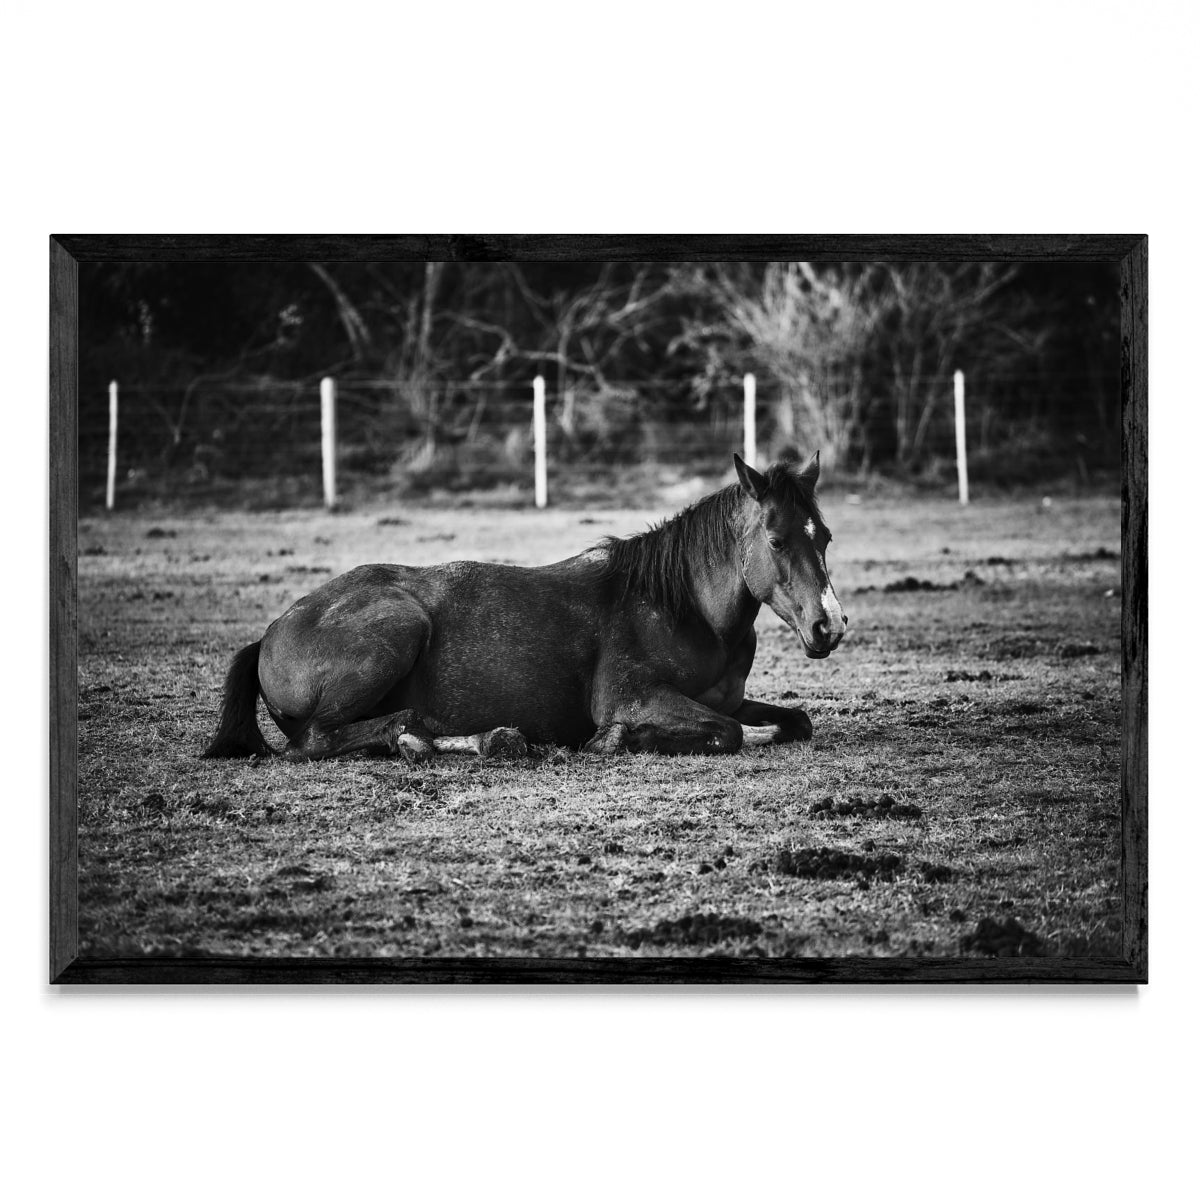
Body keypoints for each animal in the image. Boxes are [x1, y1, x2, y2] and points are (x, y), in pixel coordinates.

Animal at [202, 452, 847, 762]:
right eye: (776, 540)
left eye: (825, 536)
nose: (830, 626)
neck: (683, 610)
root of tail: (271, 632)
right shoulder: (632, 697)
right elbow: (727, 733)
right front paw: (615, 740)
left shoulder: (729, 699)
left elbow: (793, 720)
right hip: (398, 627)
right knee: (316, 740)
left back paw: (475, 741)